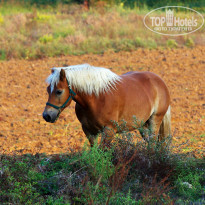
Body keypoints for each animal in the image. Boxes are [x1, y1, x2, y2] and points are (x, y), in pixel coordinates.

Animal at [42, 64, 171, 146]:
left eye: (59, 91)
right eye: (48, 90)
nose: (46, 115)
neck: (96, 99)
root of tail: (160, 81)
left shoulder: (109, 131)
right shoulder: (89, 131)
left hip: (155, 120)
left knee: (153, 144)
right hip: (143, 125)